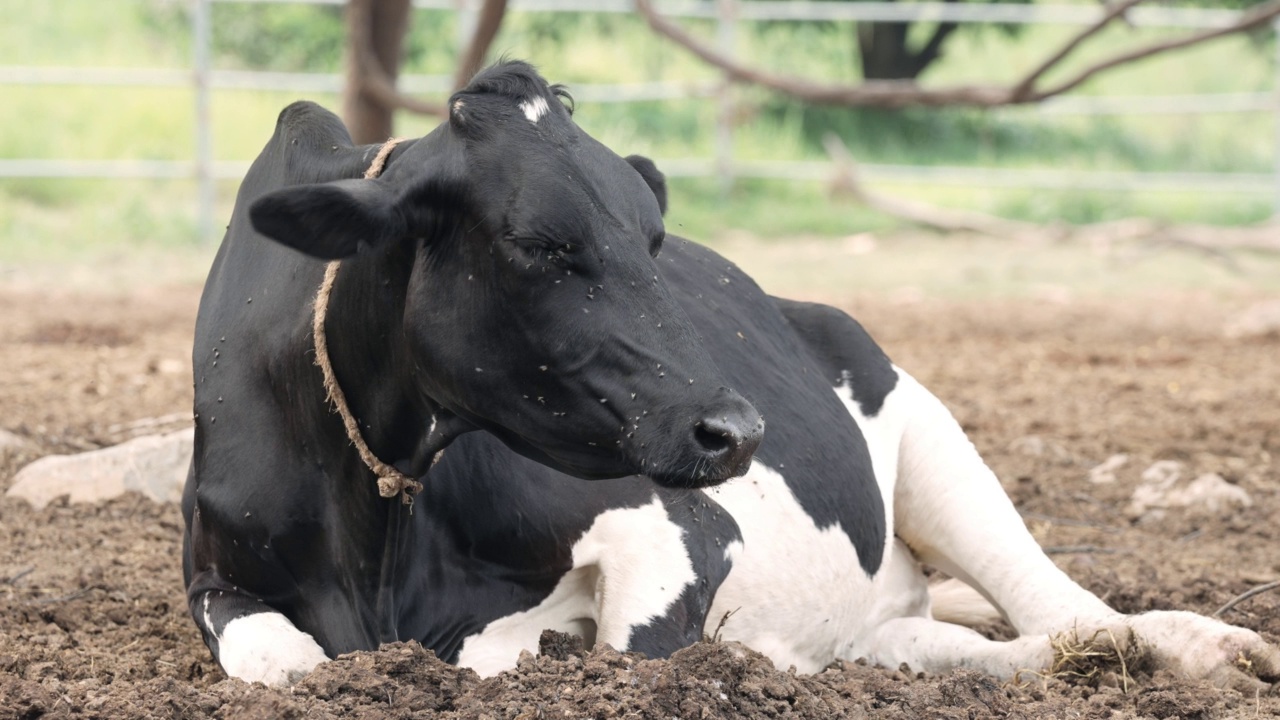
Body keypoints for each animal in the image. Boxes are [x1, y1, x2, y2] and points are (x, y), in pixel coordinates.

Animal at [183, 61, 1280, 691]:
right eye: (541, 246)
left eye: (653, 239)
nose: (737, 432)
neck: (373, 547)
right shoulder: (216, 575)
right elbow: (280, 661)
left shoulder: (677, 528)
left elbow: (607, 655)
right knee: (945, 646)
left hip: (934, 440)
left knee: (1064, 610)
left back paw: (1193, 646)